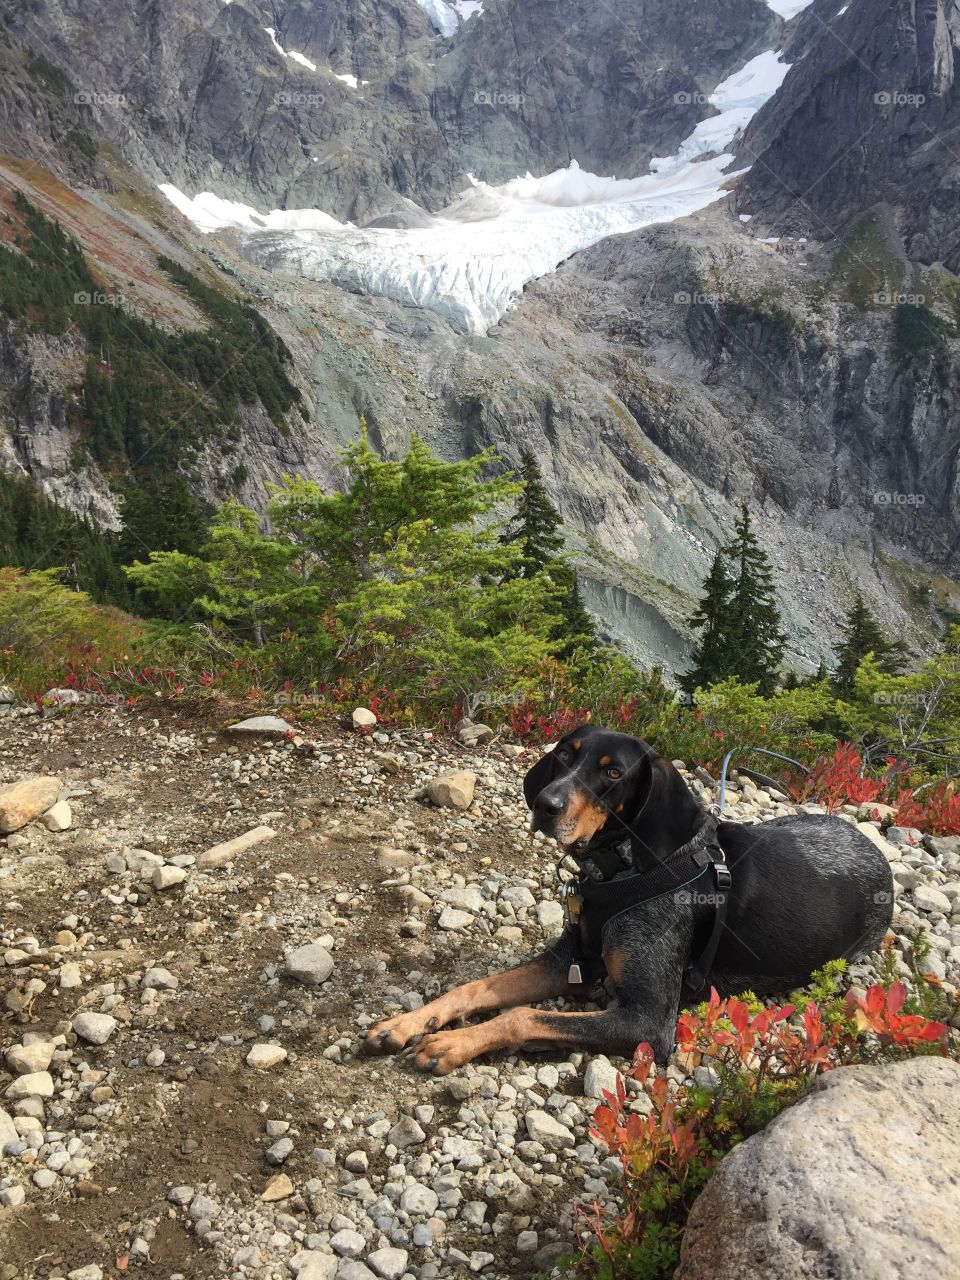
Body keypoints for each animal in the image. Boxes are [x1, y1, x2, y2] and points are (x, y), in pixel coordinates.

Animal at [363, 732, 901, 1070]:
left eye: (613, 773)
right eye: (564, 755)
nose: (545, 805)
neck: (621, 869)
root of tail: (876, 853)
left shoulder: (647, 1019)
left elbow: (520, 1016)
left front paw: (451, 1043)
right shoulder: (571, 962)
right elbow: (474, 987)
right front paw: (407, 1022)